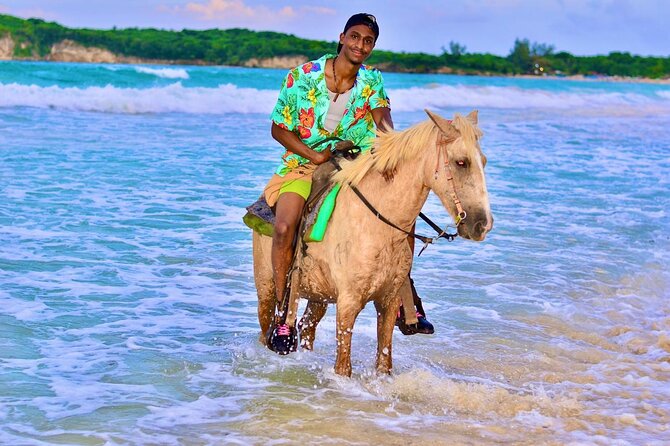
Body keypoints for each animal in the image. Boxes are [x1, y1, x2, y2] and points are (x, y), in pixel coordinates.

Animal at [252, 109, 493, 376]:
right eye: (462, 162)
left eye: (483, 161)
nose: (482, 225)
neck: (375, 225)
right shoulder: (347, 305)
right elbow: (343, 368)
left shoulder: (387, 302)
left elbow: (384, 363)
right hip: (267, 288)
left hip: (319, 297)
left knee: (307, 328)